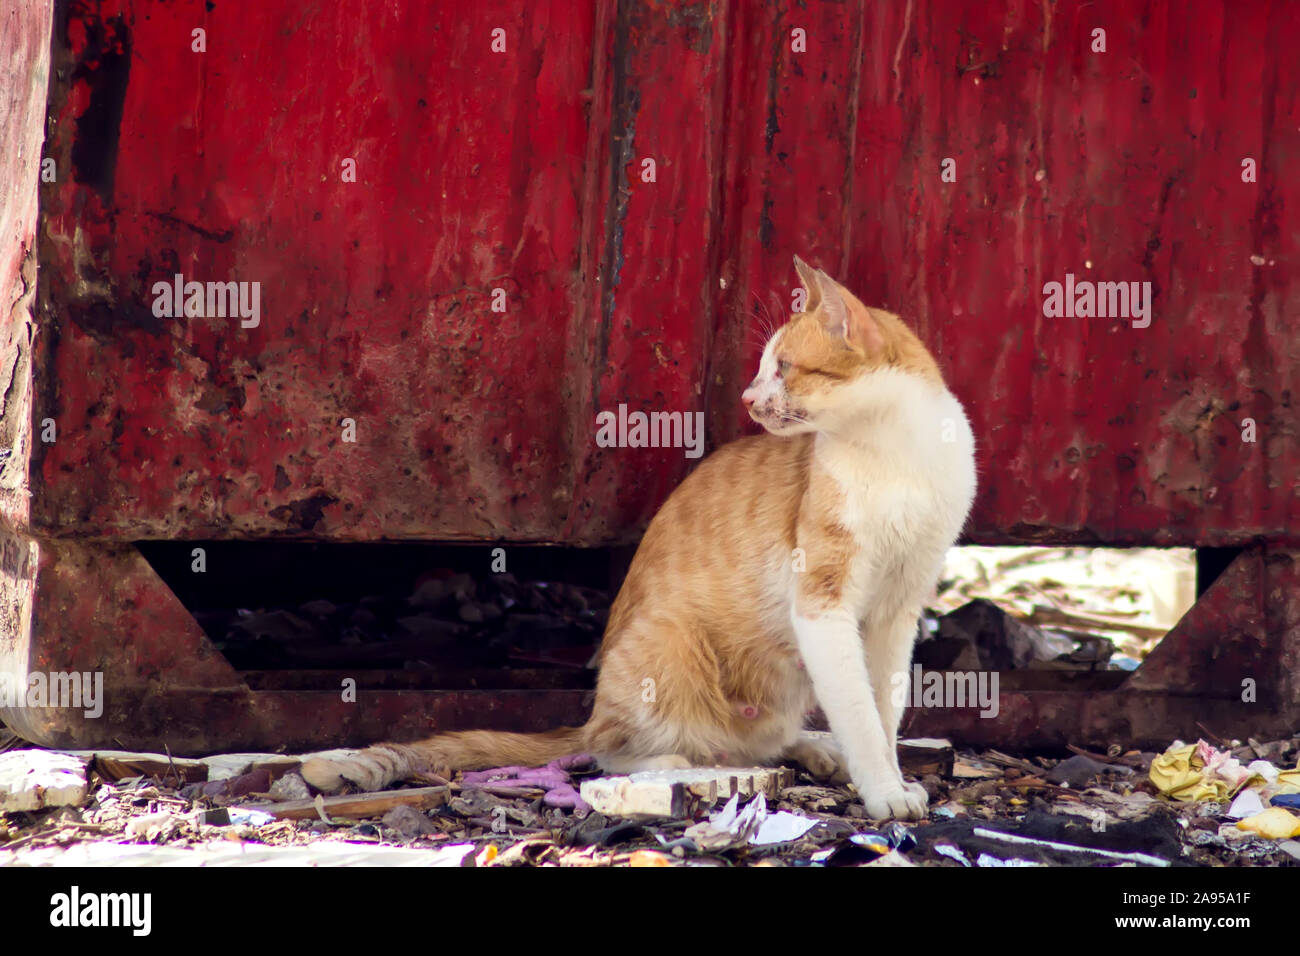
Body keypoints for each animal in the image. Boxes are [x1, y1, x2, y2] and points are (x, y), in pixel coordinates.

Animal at [301, 256, 977, 822]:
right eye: (764, 367)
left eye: (782, 367)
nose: (747, 396)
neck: (897, 456)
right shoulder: (823, 602)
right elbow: (860, 713)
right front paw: (884, 789)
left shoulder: (897, 612)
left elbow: (881, 711)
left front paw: (889, 779)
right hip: (669, 642)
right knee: (609, 749)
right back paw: (678, 763)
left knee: (762, 743)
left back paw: (813, 748)